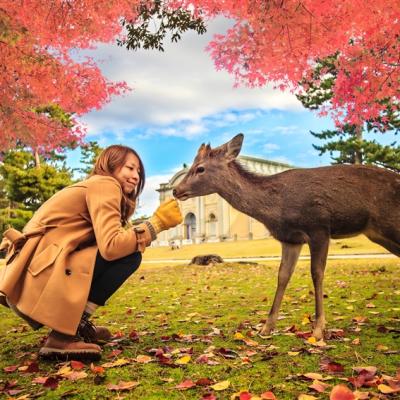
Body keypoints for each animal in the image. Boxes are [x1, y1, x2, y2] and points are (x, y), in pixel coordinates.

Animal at [173, 134, 400, 338]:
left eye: (200, 168)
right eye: (192, 165)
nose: (175, 190)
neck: (277, 207)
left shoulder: (319, 228)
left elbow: (317, 273)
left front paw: (318, 329)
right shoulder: (290, 239)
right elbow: (283, 275)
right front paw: (266, 327)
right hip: (379, 233)